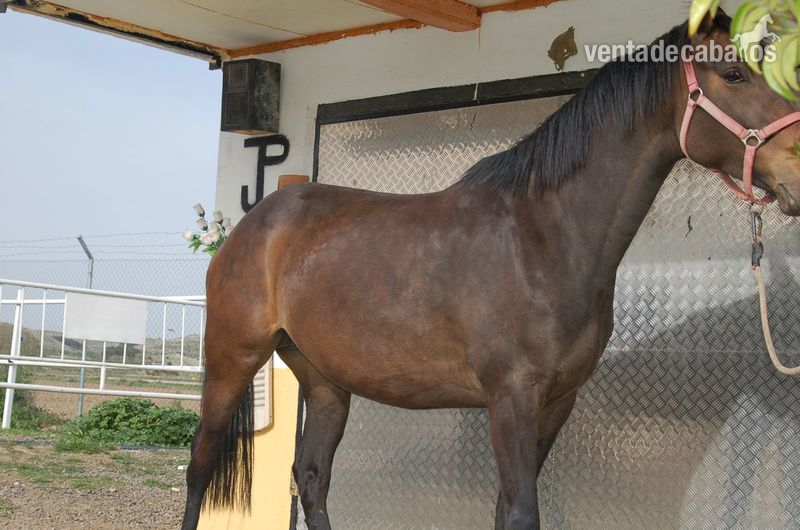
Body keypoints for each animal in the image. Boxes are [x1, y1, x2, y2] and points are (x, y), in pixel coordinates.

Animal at [182, 12, 800, 530]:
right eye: (734, 73)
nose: (796, 173)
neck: (541, 237)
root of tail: (254, 221)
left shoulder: (555, 403)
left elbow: (507, 509)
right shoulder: (511, 397)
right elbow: (522, 512)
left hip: (325, 380)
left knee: (311, 478)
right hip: (232, 360)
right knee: (200, 464)